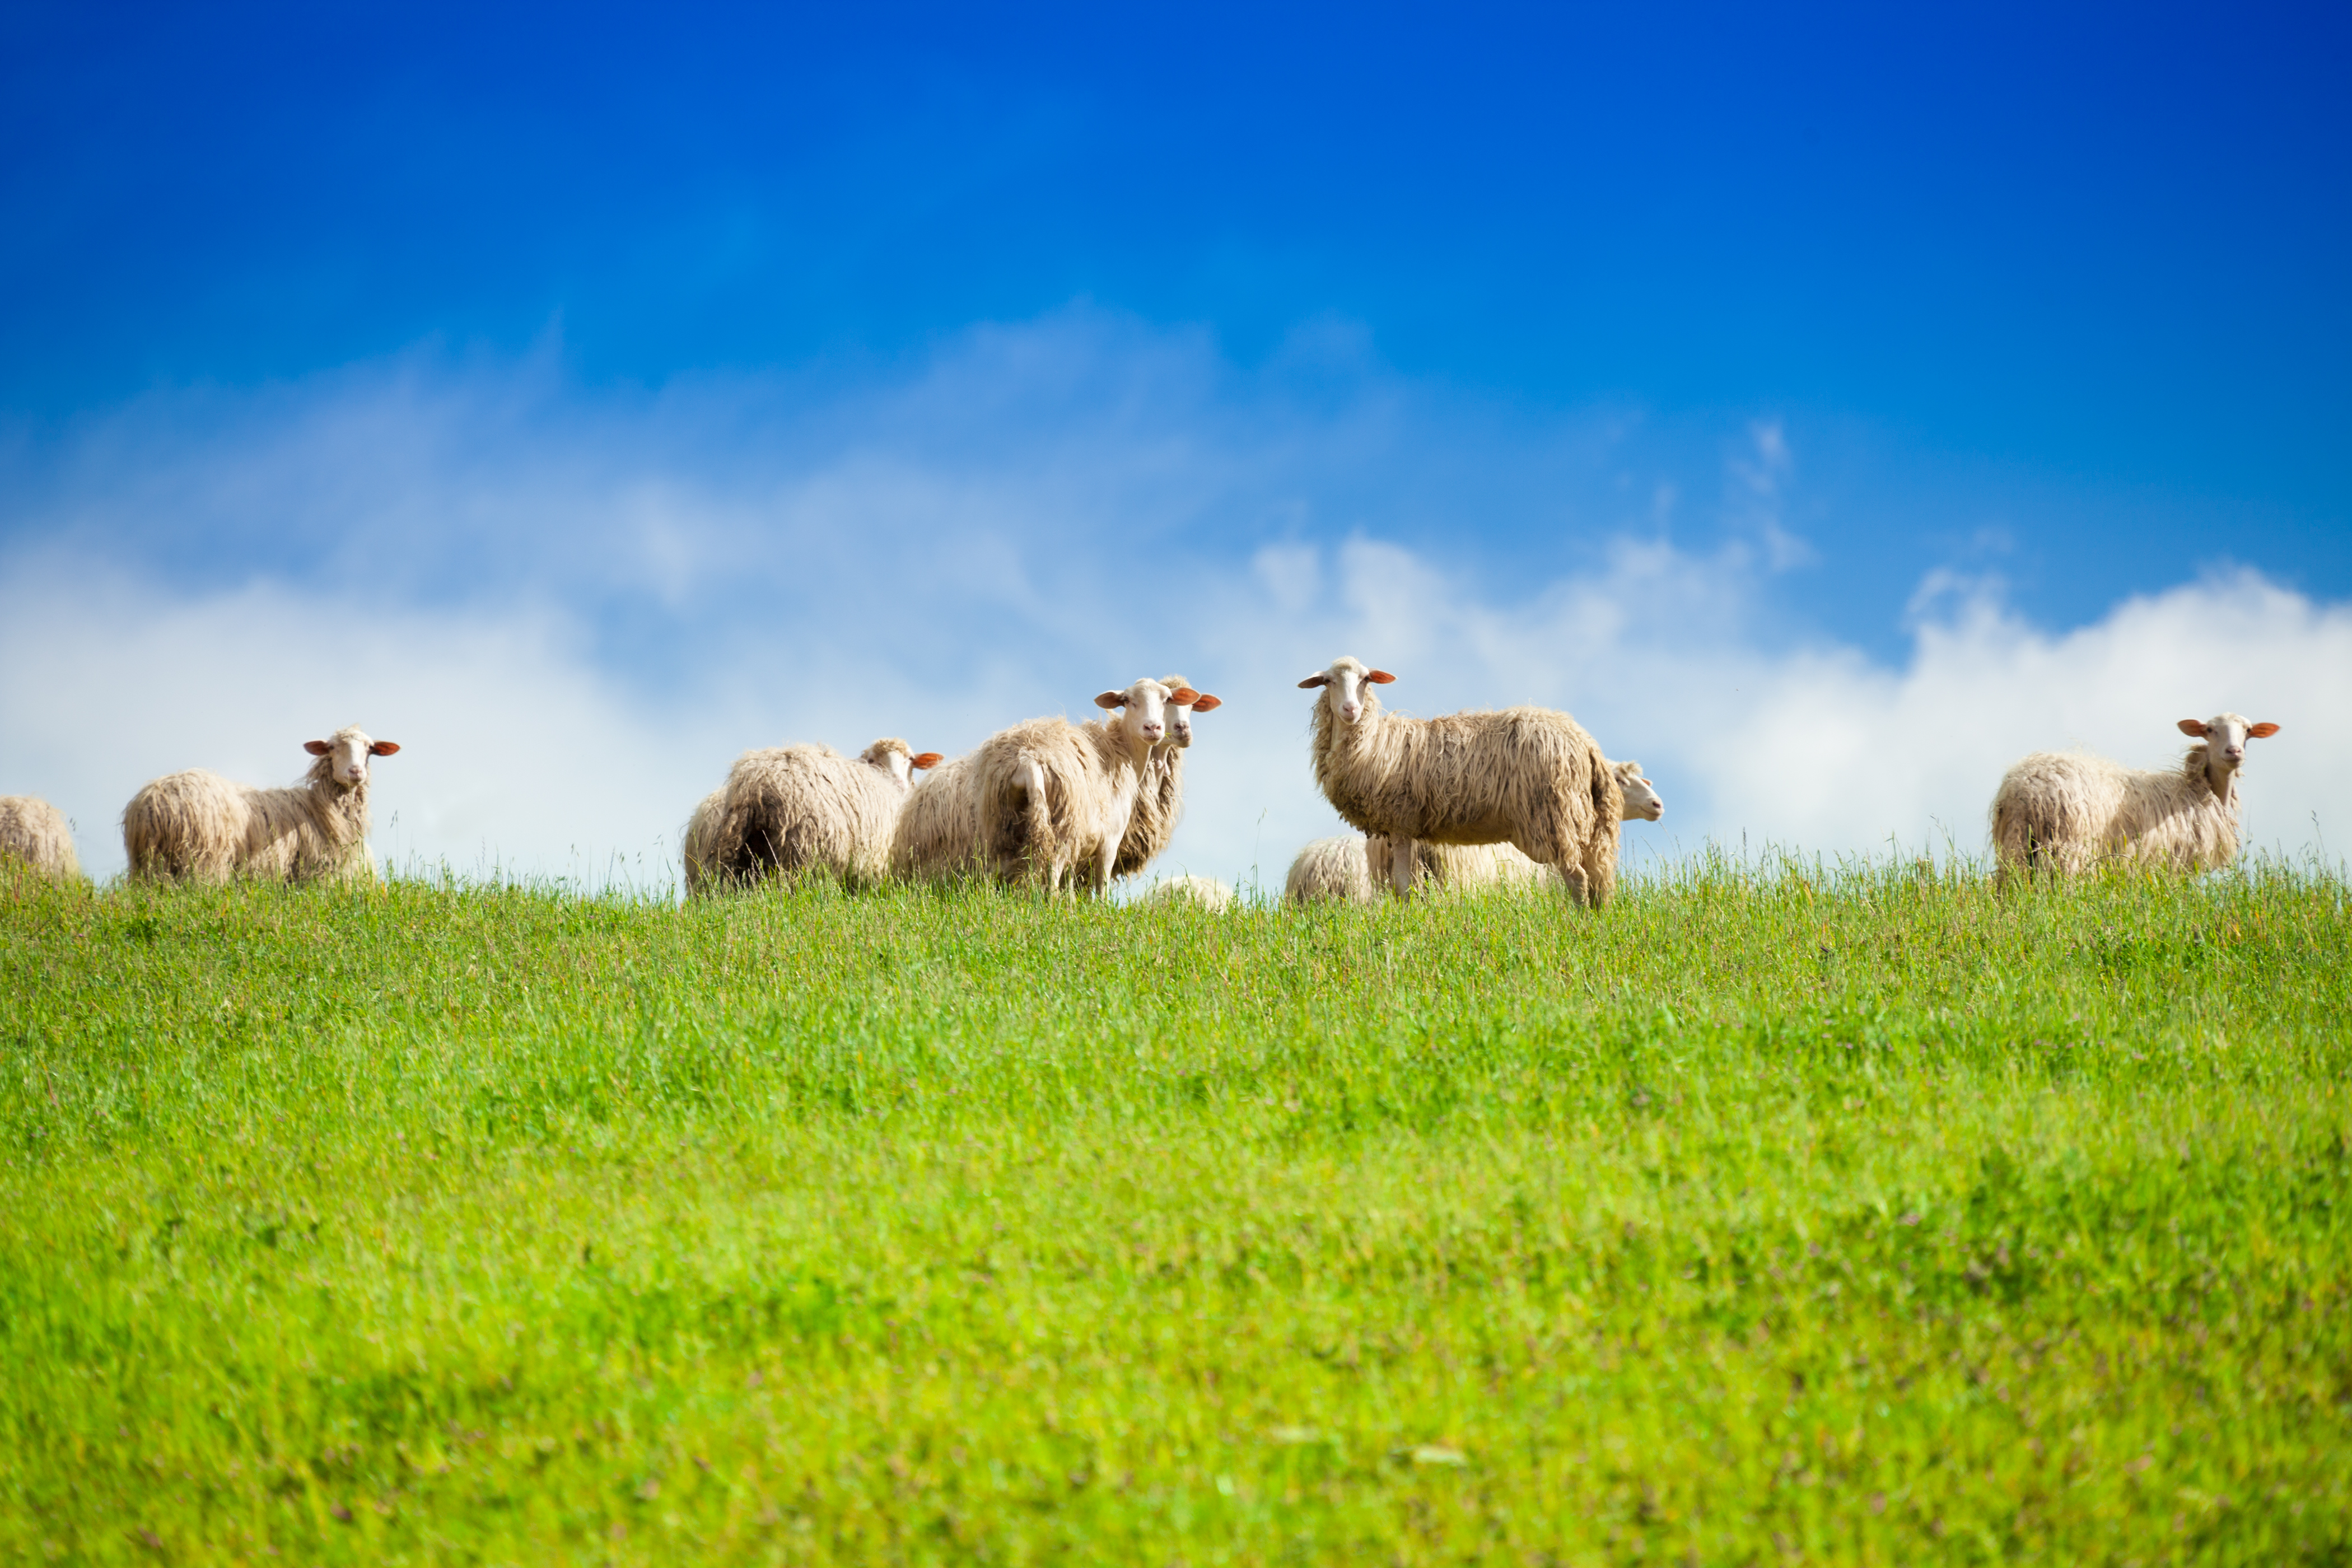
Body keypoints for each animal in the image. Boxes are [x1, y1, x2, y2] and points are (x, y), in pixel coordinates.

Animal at [122, 726, 401, 883]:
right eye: (331, 747)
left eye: (370, 748)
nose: (356, 772)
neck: (319, 807)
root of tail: (153, 805)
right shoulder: (315, 874)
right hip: (203, 862)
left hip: (148, 866)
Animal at [683, 737, 942, 896]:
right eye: (871, 760)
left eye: (910, 759)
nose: (900, 784)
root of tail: (757, 782)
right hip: (804, 852)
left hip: (728, 852)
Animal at [893, 676, 1191, 894]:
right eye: (1127, 700)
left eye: (1167, 699)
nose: (1153, 728)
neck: (1123, 752)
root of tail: (1027, 758)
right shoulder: (1109, 842)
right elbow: (1100, 891)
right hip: (1060, 828)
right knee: (1050, 873)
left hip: (1003, 829)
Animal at [1298, 656, 1623, 906]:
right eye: (1328, 681)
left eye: (1366, 679)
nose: (1350, 710)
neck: (1375, 741)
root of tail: (1585, 741)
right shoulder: (1400, 829)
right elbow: (1403, 884)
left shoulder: (1401, 821)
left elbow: (1402, 885)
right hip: (1584, 821)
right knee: (1597, 878)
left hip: (1554, 815)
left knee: (1577, 878)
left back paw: (1579, 923)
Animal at [1990, 713, 2281, 885]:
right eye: (2210, 729)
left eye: (2248, 731)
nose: (2235, 752)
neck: (2202, 789)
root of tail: (2026, 786)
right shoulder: (2177, 862)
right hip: (2067, 845)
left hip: (2016, 843)